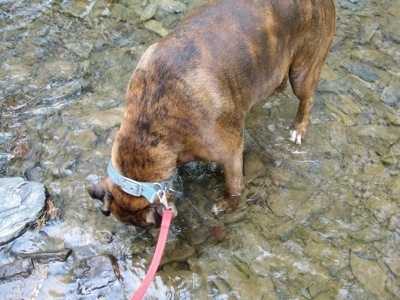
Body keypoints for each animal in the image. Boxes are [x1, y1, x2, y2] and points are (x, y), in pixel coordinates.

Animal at [86, 0, 334, 226]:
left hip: (303, 71)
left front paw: (227, 205)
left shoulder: (231, 152)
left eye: (145, 226)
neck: (150, 124)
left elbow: (234, 186)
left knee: (307, 99)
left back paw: (298, 128)